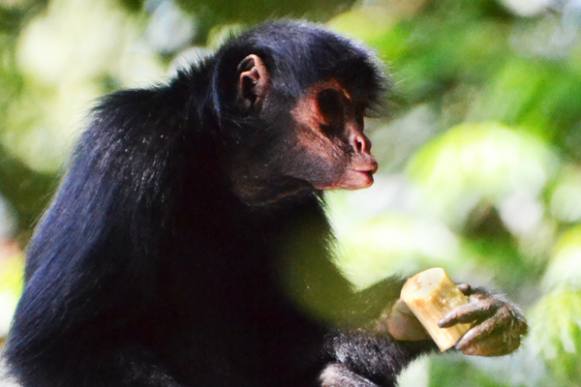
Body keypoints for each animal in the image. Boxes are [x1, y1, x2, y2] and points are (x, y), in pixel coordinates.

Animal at [3, 22, 524, 387]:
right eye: (332, 104)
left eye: (358, 110)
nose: (362, 142)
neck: (217, 164)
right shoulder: (129, 141)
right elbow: (58, 348)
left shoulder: (297, 203)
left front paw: (417, 314)